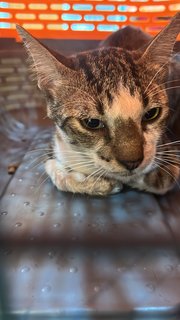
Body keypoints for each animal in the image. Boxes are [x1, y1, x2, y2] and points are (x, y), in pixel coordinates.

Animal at [16, 13, 179, 195]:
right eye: (91, 122)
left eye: (151, 114)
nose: (132, 162)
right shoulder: (55, 146)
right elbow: (54, 169)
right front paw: (98, 183)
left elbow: (164, 178)